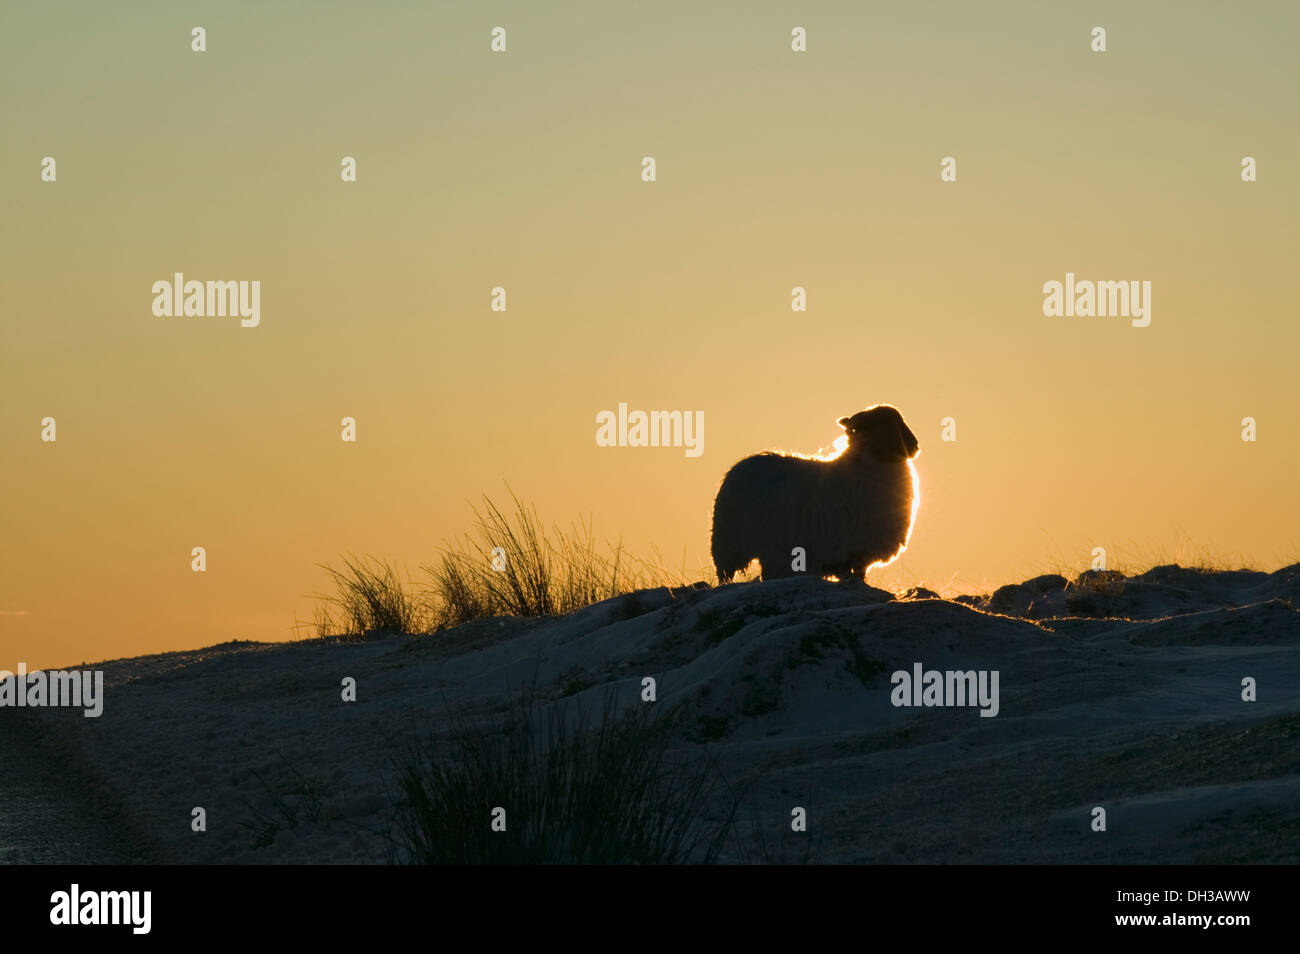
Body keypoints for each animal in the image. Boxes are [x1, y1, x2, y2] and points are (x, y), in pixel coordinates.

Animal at [707, 402, 920, 582]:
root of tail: (742, 463)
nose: (914, 447)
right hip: (728, 544)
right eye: (885, 424)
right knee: (725, 574)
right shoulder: (846, 550)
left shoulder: (860, 553)